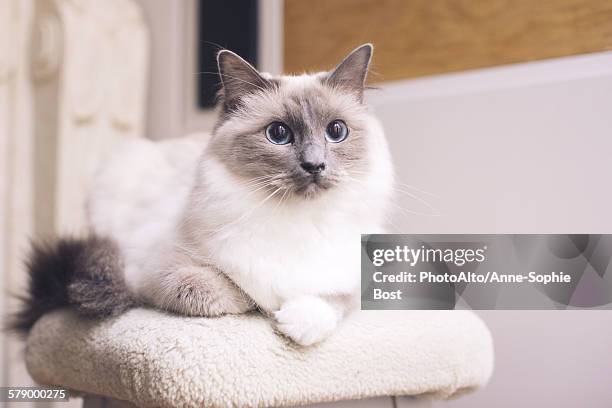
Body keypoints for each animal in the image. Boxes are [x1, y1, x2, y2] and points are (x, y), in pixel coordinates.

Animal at [13, 43, 392, 344]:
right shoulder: (154, 271)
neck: (295, 220)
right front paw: (265, 307)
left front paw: (297, 322)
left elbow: (334, 301)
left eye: (336, 131)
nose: (315, 165)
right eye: (279, 134)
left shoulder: (354, 279)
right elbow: (225, 290)